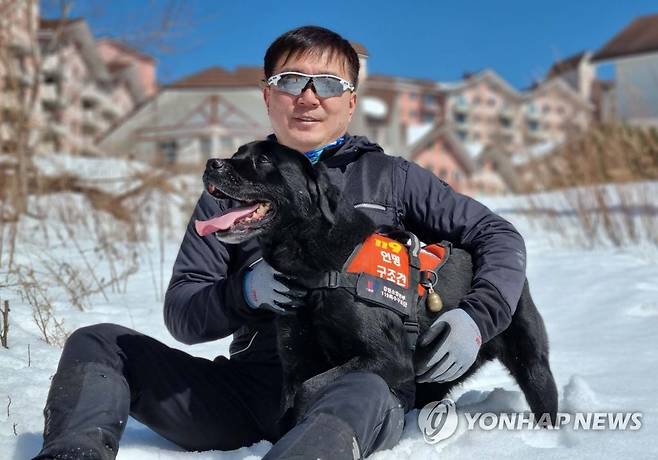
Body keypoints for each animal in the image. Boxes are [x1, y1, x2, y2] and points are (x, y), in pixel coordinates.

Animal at [197, 140, 556, 432]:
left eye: (263, 160)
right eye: (236, 154)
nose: (211, 163)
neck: (322, 270)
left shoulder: (388, 358)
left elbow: (310, 389)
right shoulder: (295, 360)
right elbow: (288, 404)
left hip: (531, 364)